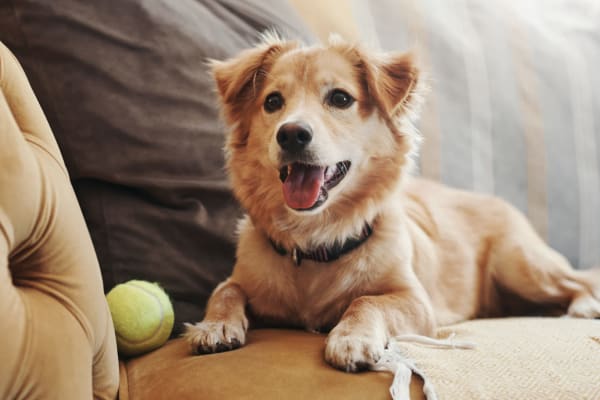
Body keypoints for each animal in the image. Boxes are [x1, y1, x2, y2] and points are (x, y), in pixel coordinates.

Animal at [183, 33, 600, 372]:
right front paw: (214, 325)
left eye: (340, 98)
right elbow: (225, 290)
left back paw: (582, 307)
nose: (291, 134)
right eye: (272, 102)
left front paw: (351, 338)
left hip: (521, 264)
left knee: (578, 281)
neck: (317, 241)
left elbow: (366, 301)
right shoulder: (242, 279)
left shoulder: (415, 301)